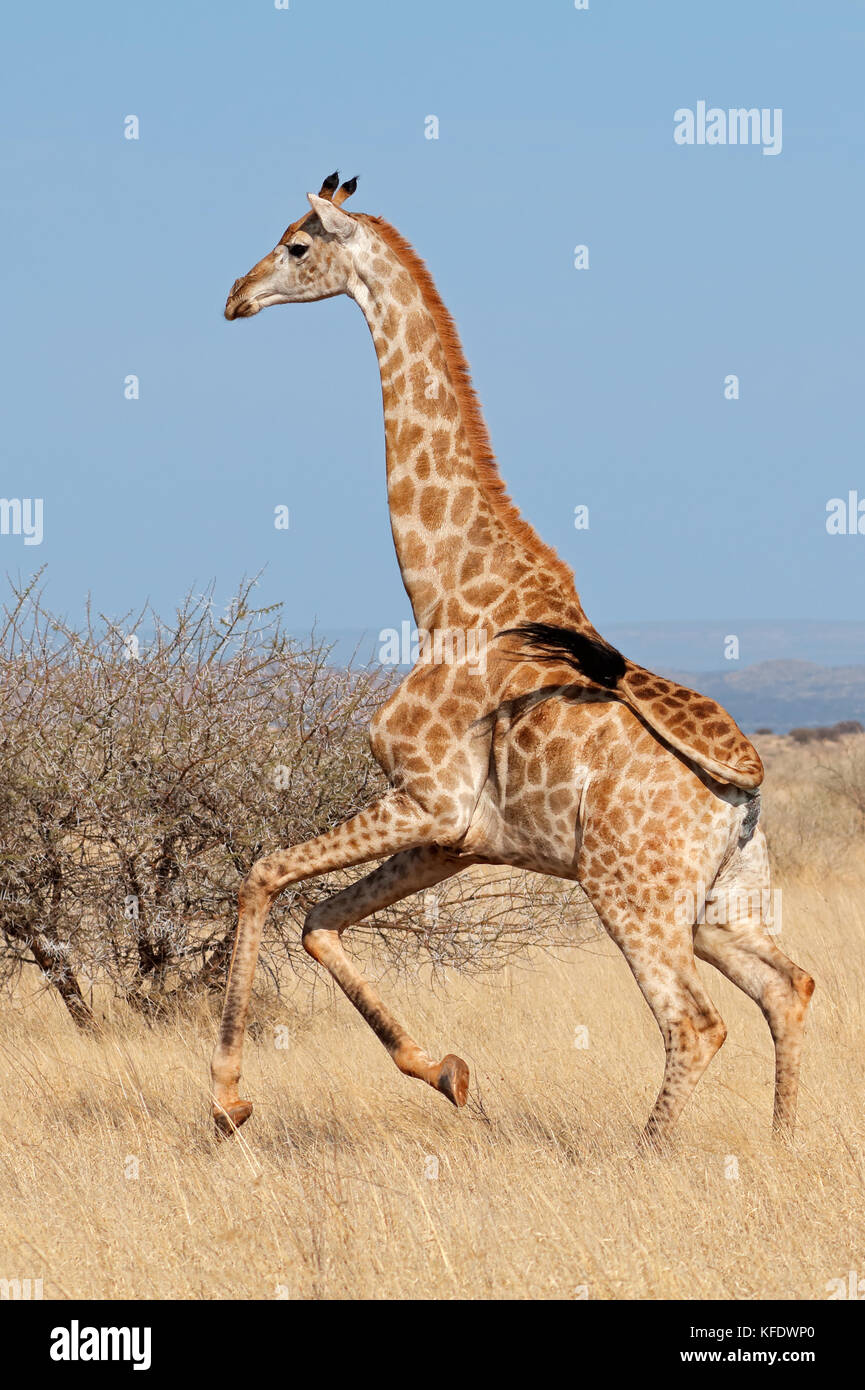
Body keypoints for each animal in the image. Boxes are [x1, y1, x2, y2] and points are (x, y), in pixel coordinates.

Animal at [214, 173, 817, 1145]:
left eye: (296, 246)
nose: (235, 296)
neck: (445, 597)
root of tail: (744, 782)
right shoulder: (457, 839)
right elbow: (316, 919)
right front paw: (447, 1073)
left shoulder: (425, 799)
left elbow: (264, 874)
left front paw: (228, 1099)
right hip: (724, 899)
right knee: (786, 988)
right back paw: (779, 1146)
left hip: (631, 891)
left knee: (695, 1022)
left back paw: (642, 1158)